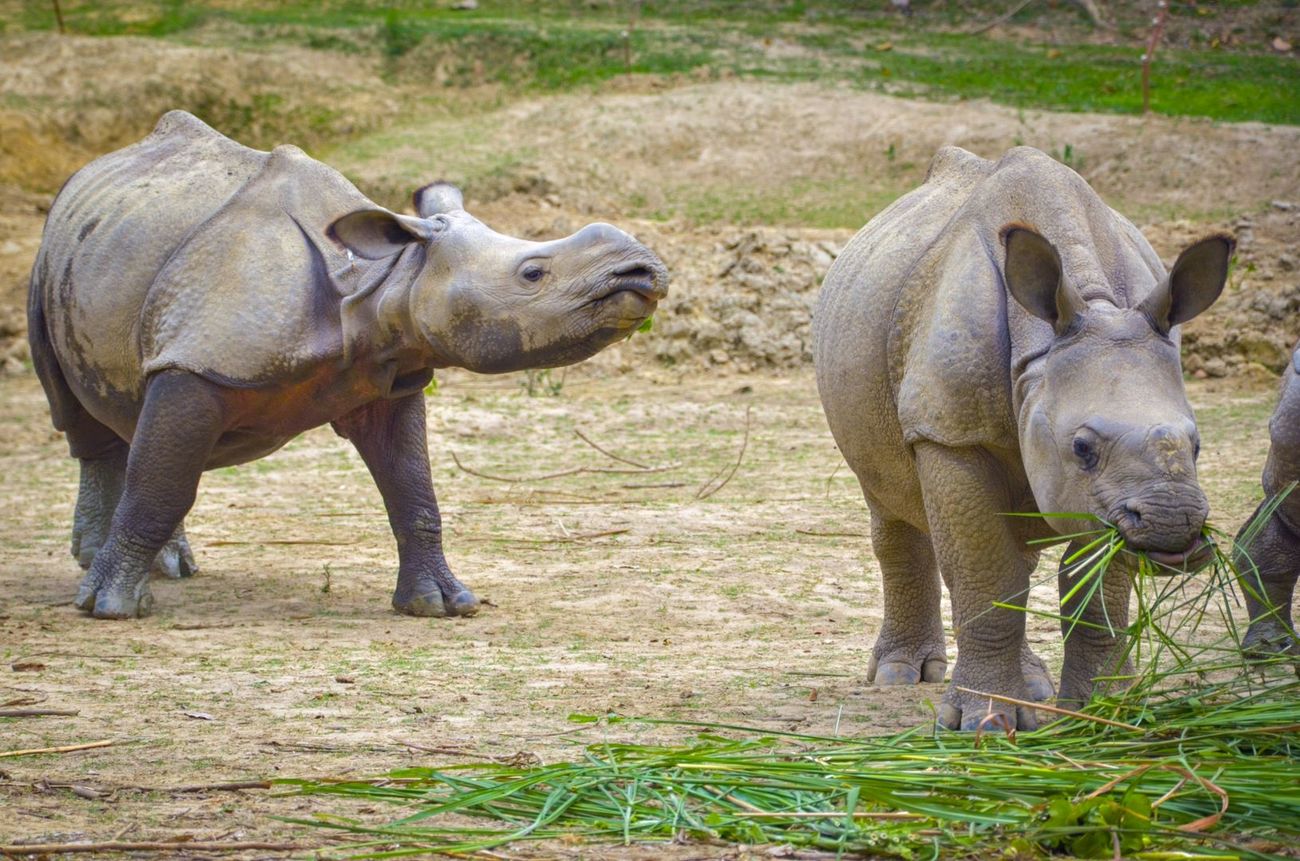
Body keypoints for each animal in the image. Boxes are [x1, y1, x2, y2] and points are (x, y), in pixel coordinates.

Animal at [30, 109, 670, 621]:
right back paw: (98, 567)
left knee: (144, 415)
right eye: (533, 273)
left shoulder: (389, 373)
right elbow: (159, 485)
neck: (385, 276)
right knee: (84, 411)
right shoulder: (199, 361)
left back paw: (169, 566)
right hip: (49, 265)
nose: (643, 271)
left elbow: (412, 488)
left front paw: (442, 604)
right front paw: (109, 609)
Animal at [816, 146, 1232, 728]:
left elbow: (1093, 589)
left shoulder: (1103, 496)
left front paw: (1103, 710)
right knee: (889, 501)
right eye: (1082, 447)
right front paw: (981, 724)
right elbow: (987, 576)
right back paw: (902, 676)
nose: (1173, 524)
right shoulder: (951, 430)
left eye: (1196, 445)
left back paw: (1033, 689)